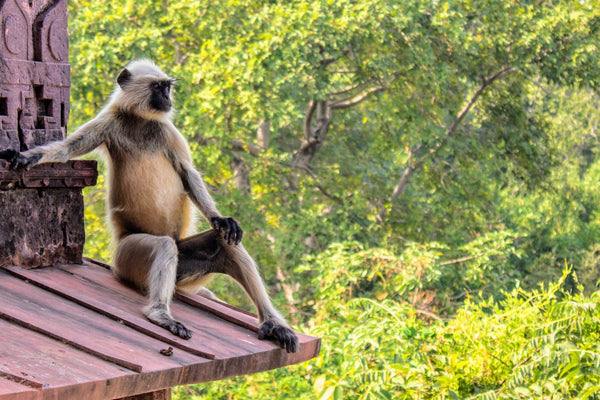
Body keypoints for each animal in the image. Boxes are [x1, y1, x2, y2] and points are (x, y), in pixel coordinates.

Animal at [0, 59, 298, 354]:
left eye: (167, 87)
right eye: (158, 88)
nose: (167, 98)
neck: (140, 121)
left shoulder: (167, 132)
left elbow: (188, 174)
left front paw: (219, 218)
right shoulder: (108, 123)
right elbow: (63, 149)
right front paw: (23, 158)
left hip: (180, 267)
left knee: (225, 242)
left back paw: (273, 324)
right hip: (127, 258)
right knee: (164, 246)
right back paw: (160, 313)